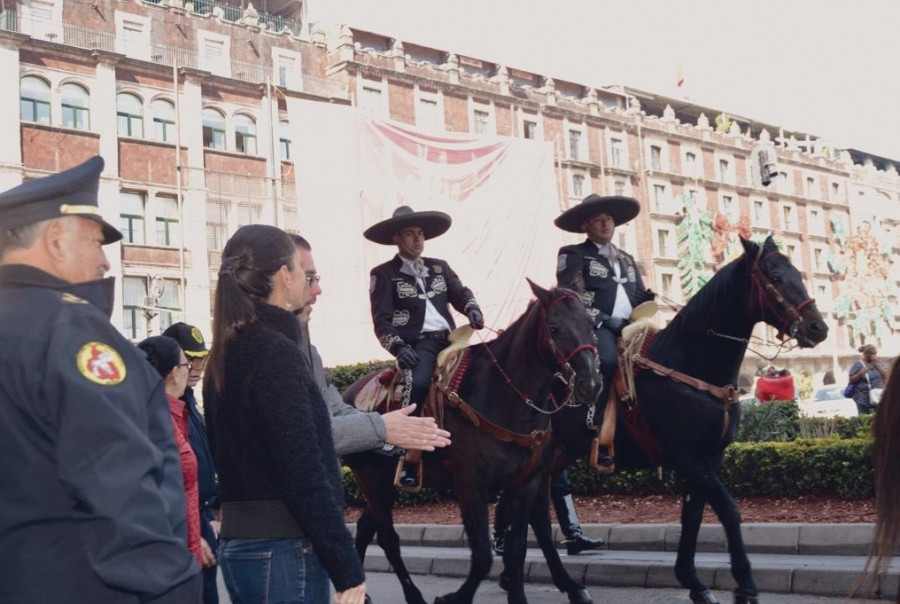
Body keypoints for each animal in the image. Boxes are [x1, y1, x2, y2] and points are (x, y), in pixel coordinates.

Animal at [344, 282, 604, 604]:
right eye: (554, 328)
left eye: (592, 324)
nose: (591, 384)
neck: (505, 398)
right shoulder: (470, 486)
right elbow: (483, 556)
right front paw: (454, 597)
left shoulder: (527, 482)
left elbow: (519, 547)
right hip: (370, 480)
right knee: (388, 538)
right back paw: (412, 595)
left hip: (384, 482)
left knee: (366, 529)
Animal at [500, 237, 828, 604]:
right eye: (775, 277)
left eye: (795, 273)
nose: (818, 327)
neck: (690, 365)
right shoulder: (687, 458)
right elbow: (729, 511)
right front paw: (744, 585)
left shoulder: (709, 460)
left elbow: (693, 516)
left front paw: (694, 582)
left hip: (556, 456)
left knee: (537, 515)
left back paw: (562, 583)